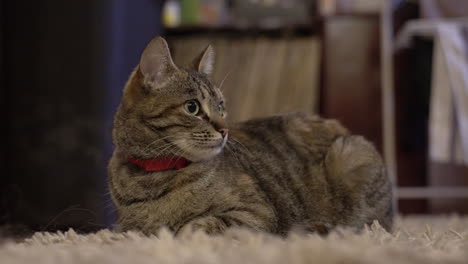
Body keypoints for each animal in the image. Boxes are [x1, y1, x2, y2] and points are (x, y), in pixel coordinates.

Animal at [108, 35, 394, 235]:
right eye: (192, 108)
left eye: (221, 106)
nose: (224, 130)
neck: (155, 175)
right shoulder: (126, 226)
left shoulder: (256, 213)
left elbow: (197, 226)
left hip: (351, 155)